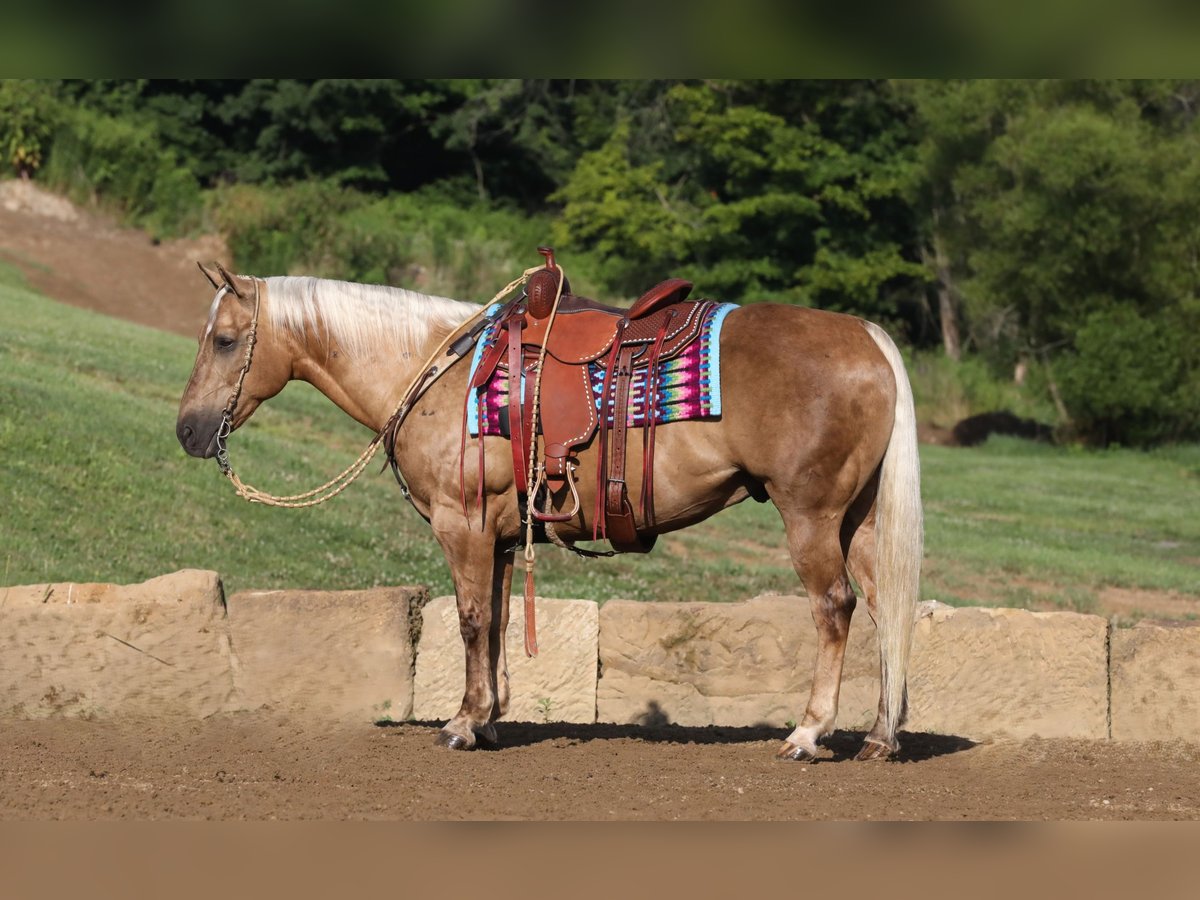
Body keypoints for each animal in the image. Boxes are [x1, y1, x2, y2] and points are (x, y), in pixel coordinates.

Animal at [177, 264, 921, 763]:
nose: (188, 431)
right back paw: (880, 737)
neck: (438, 374)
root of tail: (867, 338)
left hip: (810, 517)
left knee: (833, 608)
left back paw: (807, 733)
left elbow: (471, 620)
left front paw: (462, 723)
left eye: (223, 340)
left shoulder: (463, 525)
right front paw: (489, 718)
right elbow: (498, 620)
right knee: (885, 609)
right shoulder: (501, 537)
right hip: (856, 522)